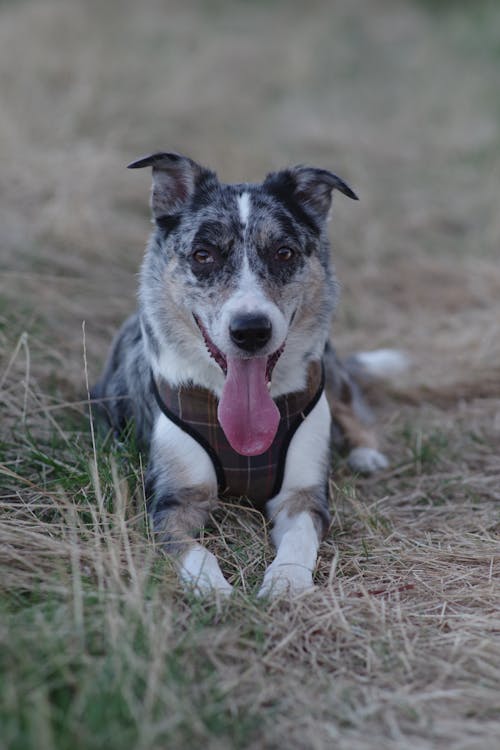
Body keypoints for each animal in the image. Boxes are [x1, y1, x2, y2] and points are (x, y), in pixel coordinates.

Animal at [93, 153, 398, 600]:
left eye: (284, 252)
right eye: (203, 255)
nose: (251, 330)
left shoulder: (302, 496)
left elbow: (299, 538)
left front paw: (286, 581)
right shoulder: (173, 501)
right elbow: (195, 550)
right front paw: (211, 589)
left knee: (351, 406)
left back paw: (366, 453)